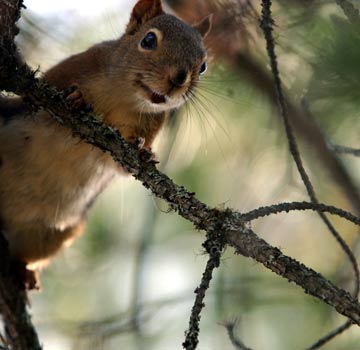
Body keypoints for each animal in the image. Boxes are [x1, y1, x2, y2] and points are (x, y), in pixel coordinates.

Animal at [0, 0, 211, 290]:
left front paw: (145, 153)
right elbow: (40, 103)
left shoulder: (151, 126)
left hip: (56, 235)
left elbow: (121, 165)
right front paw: (76, 98)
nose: (178, 79)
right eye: (148, 40)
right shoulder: (71, 70)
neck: (124, 97)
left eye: (203, 66)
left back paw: (25, 271)